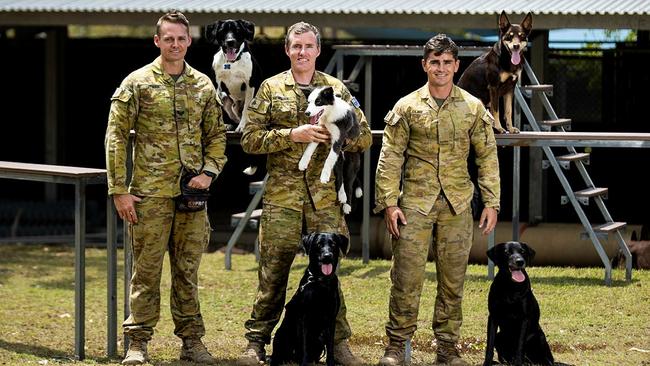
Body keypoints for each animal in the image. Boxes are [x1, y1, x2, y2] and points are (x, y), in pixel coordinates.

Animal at [270, 233, 346, 364]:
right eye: (319, 244)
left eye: (333, 244)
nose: (327, 256)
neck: (321, 282)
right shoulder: (305, 318)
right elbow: (304, 345)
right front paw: (304, 363)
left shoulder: (331, 319)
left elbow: (330, 346)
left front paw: (330, 362)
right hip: (281, 334)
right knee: (278, 355)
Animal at [298, 86, 360, 214]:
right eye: (309, 102)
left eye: (318, 102)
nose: (307, 113)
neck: (330, 113)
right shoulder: (319, 131)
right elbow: (309, 148)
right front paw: (303, 163)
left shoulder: (339, 140)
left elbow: (329, 159)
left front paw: (324, 177)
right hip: (338, 162)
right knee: (340, 177)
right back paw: (342, 196)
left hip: (351, 162)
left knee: (349, 183)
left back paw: (347, 205)